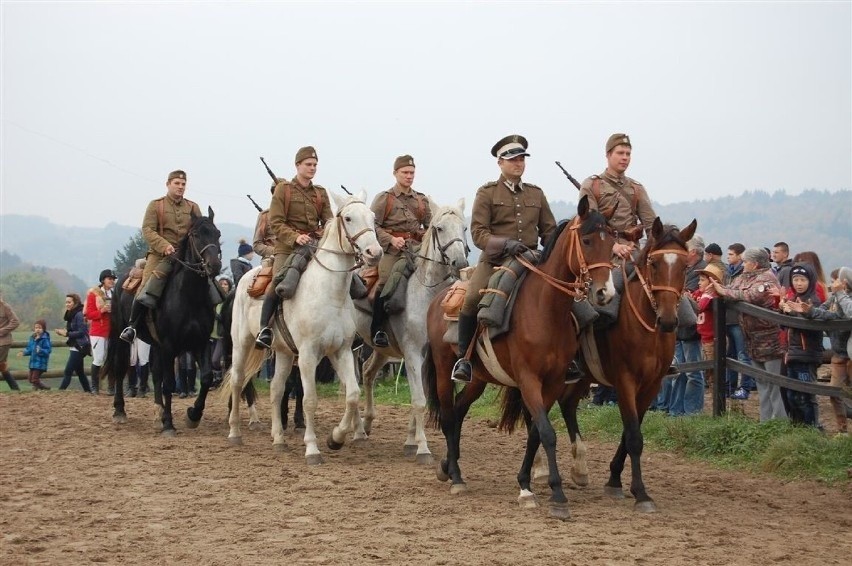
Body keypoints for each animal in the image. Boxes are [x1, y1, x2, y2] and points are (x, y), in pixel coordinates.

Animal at [104, 207, 223, 434]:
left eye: (217, 234)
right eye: (196, 234)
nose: (214, 265)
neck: (189, 297)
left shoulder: (200, 343)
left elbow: (205, 377)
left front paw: (193, 415)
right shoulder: (169, 346)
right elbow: (169, 383)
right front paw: (169, 424)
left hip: (156, 345)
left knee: (155, 372)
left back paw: (158, 410)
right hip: (121, 337)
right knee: (120, 367)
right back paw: (119, 411)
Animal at [226, 191, 386, 466]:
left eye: (373, 217)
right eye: (348, 217)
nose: (374, 252)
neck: (330, 293)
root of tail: (247, 277)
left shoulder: (342, 351)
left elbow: (352, 394)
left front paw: (336, 438)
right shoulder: (309, 355)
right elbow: (310, 399)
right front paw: (312, 448)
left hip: (283, 353)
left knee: (276, 389)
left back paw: (279, 439)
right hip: (242, 343)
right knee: (238, 381)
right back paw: (235, 432)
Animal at [354, 200, 472, 466]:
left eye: (464, 227)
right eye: (439, 228)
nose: (459, 263)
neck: (426, 296)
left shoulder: (429, 359)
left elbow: (422, 398)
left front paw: (410, 442)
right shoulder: (412, 355)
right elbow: (418, 400)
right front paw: (423, 449)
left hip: (382, 349)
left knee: (367, 372)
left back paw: (366, 425)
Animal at [422, 197, 616, 520]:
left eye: (612, 242)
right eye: (587, 240)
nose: (605, 292)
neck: (545, 309)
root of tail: (439, 299)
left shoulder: (553, 382)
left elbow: (537, 432)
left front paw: (525, 483)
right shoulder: (528, 380)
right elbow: (547, 433)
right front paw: (557, 495)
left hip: (478, 378)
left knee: (460, 411)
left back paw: (448, 466)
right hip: (442, 370)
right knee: (449, 417)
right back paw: (457, 478)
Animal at [540, 216, 700, 516]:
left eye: (685, 266)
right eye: (654, 263)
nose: (668, 321)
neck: (646, 328)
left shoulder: (652, 385)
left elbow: (629, 432)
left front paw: (615, 478)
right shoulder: (625, 381)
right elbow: (634, 435)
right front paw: (641, 493)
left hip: (582, 375)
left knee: (567, 404)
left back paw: (579, 469)